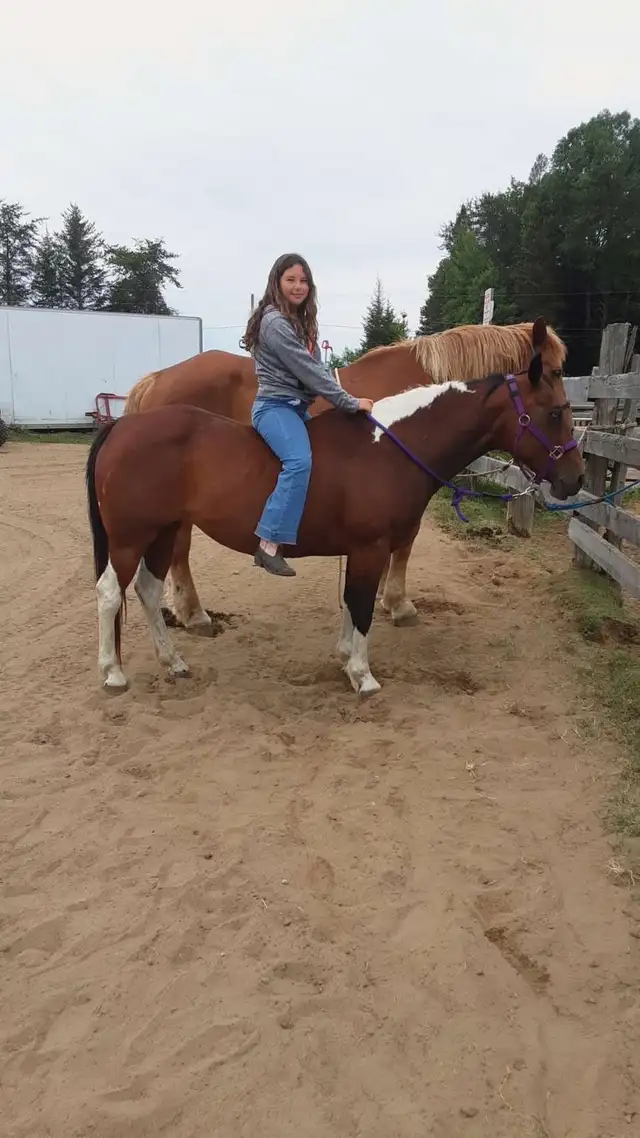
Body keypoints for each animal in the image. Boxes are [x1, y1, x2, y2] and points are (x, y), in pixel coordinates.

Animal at [87, 320, 583, 696]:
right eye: (556, 411)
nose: (576, 479)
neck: (389, 444)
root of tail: (124, 426)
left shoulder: (364, 549)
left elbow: (351, 602)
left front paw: (347, 655)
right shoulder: (372, 546)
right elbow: (361, 603)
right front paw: (363, 673)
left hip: (163, 530)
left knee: (149, 590)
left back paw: (173, 660)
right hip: (131, 537)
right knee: (111, 592)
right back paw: (114, 672)